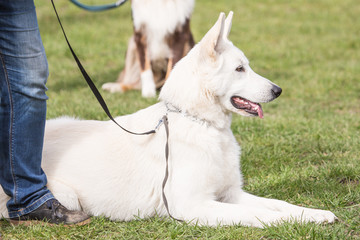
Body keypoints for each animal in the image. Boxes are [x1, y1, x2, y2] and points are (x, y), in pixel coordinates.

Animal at [0, 12, 338, 228]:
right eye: (240, 69)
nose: (278, 90)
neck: (199, 123)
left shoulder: (231, 194)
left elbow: (280, 204)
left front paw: (315, 215)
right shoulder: (193, 206)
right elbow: (262, 215)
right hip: (66, 195)